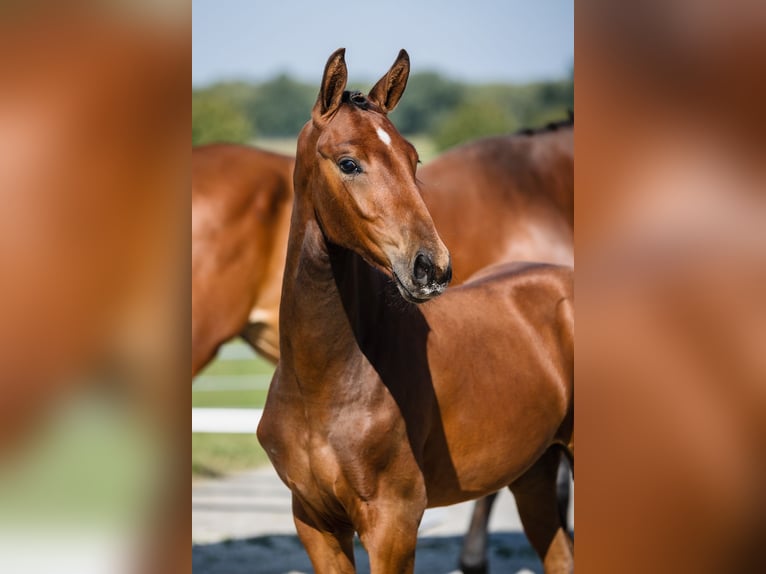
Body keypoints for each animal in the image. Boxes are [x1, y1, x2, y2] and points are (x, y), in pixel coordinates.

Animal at [258, 48, 576, 574]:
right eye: (349, 162)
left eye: (413, 158)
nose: (432, 267)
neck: (325, 384)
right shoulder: (314, 522)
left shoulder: (393, 524)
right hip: (533, 475)